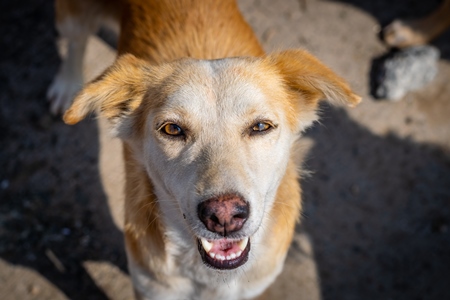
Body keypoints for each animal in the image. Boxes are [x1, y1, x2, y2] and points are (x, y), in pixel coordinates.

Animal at [50, 1, 362, 298]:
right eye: (172, 129)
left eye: (261, 126)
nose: (224, 216)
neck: (210, 276)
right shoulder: (150, 286)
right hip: (74, 15)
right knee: (76, 40)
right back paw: (67, 86)